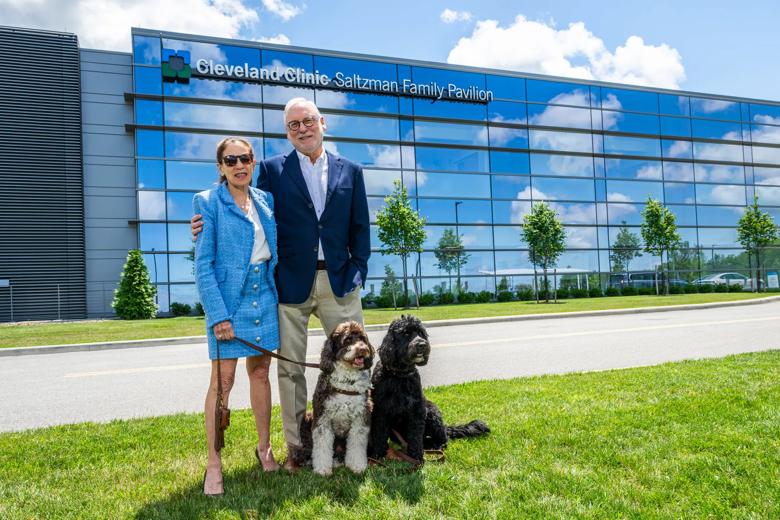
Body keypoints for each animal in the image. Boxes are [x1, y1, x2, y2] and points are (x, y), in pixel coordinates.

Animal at [370, 314, 490, 462]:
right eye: (406, 333)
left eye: (421, 333)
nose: (422, 344)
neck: (400, 375)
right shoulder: (381, 409)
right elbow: (379, 433)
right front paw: (378, 454)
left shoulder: (417, 409)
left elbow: (415, 435)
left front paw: (416, 456)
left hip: (432, 410)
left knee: (443, 439)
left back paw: (434, 447)